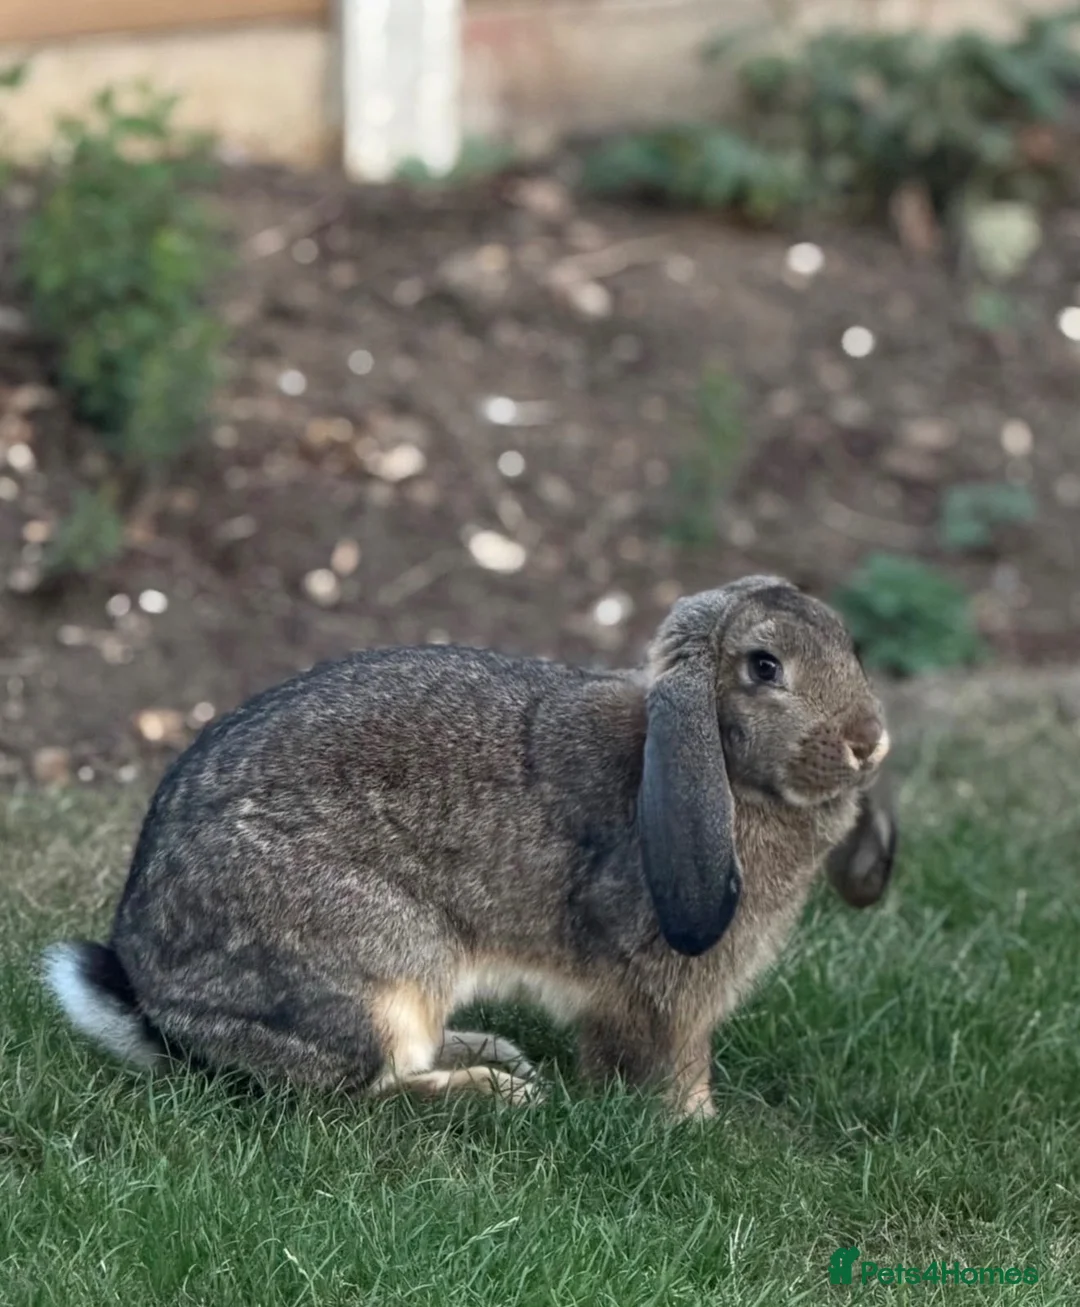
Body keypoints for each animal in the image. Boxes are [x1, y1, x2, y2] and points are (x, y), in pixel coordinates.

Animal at [43, 574, 893, 1119]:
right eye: (764, 666)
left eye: (850, 644)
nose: (869, 742)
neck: (719, 764)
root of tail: (156, 1005)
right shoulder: (665, 990)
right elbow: (674, 1060)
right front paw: (700, 1125)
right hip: (385, 966)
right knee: (366, 1087)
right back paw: (496, 1090)